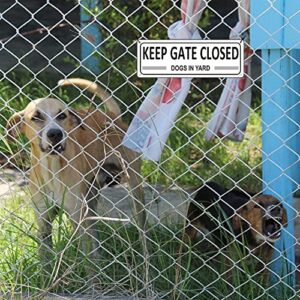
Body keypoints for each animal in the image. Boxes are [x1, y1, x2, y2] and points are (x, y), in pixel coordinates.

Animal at [6, 78, 146, 264]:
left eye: (62, 115)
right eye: (36, 117)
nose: (55, 134)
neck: (52, 171)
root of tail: (111, 116)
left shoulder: (77, 219)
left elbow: (87, 262)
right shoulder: (44, 223)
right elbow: (45, 262)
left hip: (135, 190)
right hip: (90, 199)